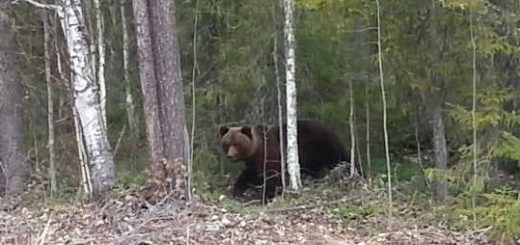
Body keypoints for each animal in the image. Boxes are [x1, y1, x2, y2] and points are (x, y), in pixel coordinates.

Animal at [217, 119, 360, 200]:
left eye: (237, 144)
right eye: (227, 143)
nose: (230, 155)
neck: (256, 150)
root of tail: (332, 131)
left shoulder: (271, 154)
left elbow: (273, 178)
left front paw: (263, 196)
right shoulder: (254, 163)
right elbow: (249, 175)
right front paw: (238, 191)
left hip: (319, 146)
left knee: (338, 160)